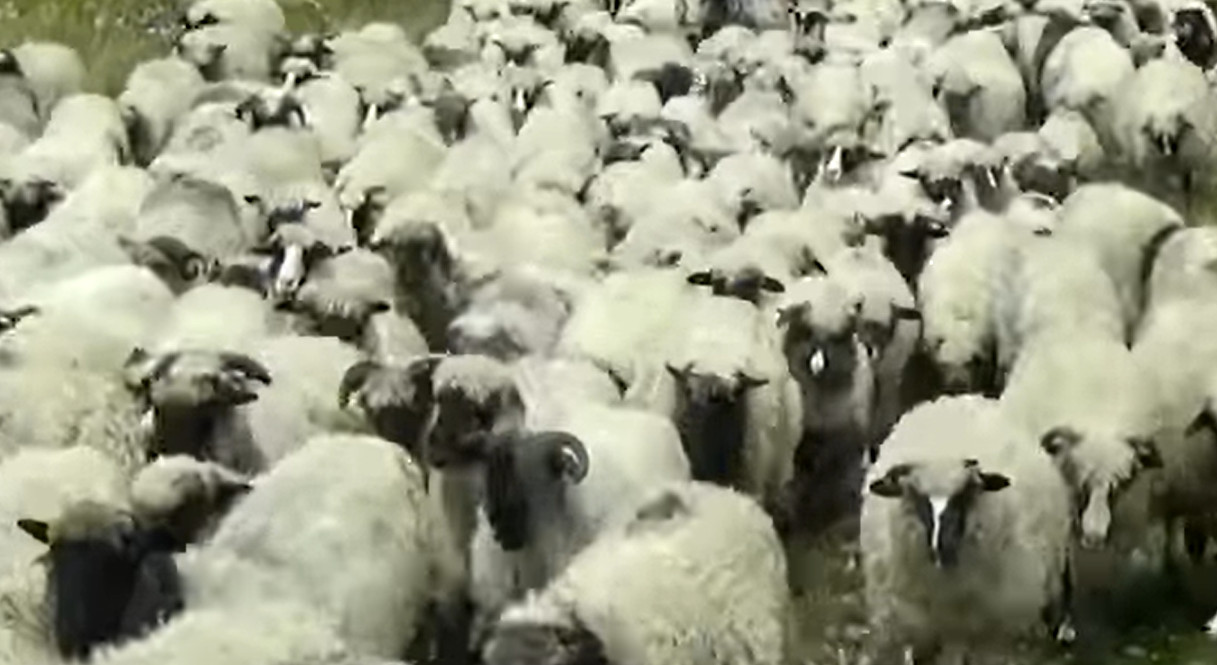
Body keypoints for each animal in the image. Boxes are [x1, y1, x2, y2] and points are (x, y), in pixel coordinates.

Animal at [861, 395, 1073, 663]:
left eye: (965, 496)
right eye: (918, 498)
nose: (942, 549)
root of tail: (959, 398)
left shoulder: (989, 633)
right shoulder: (916, 628)